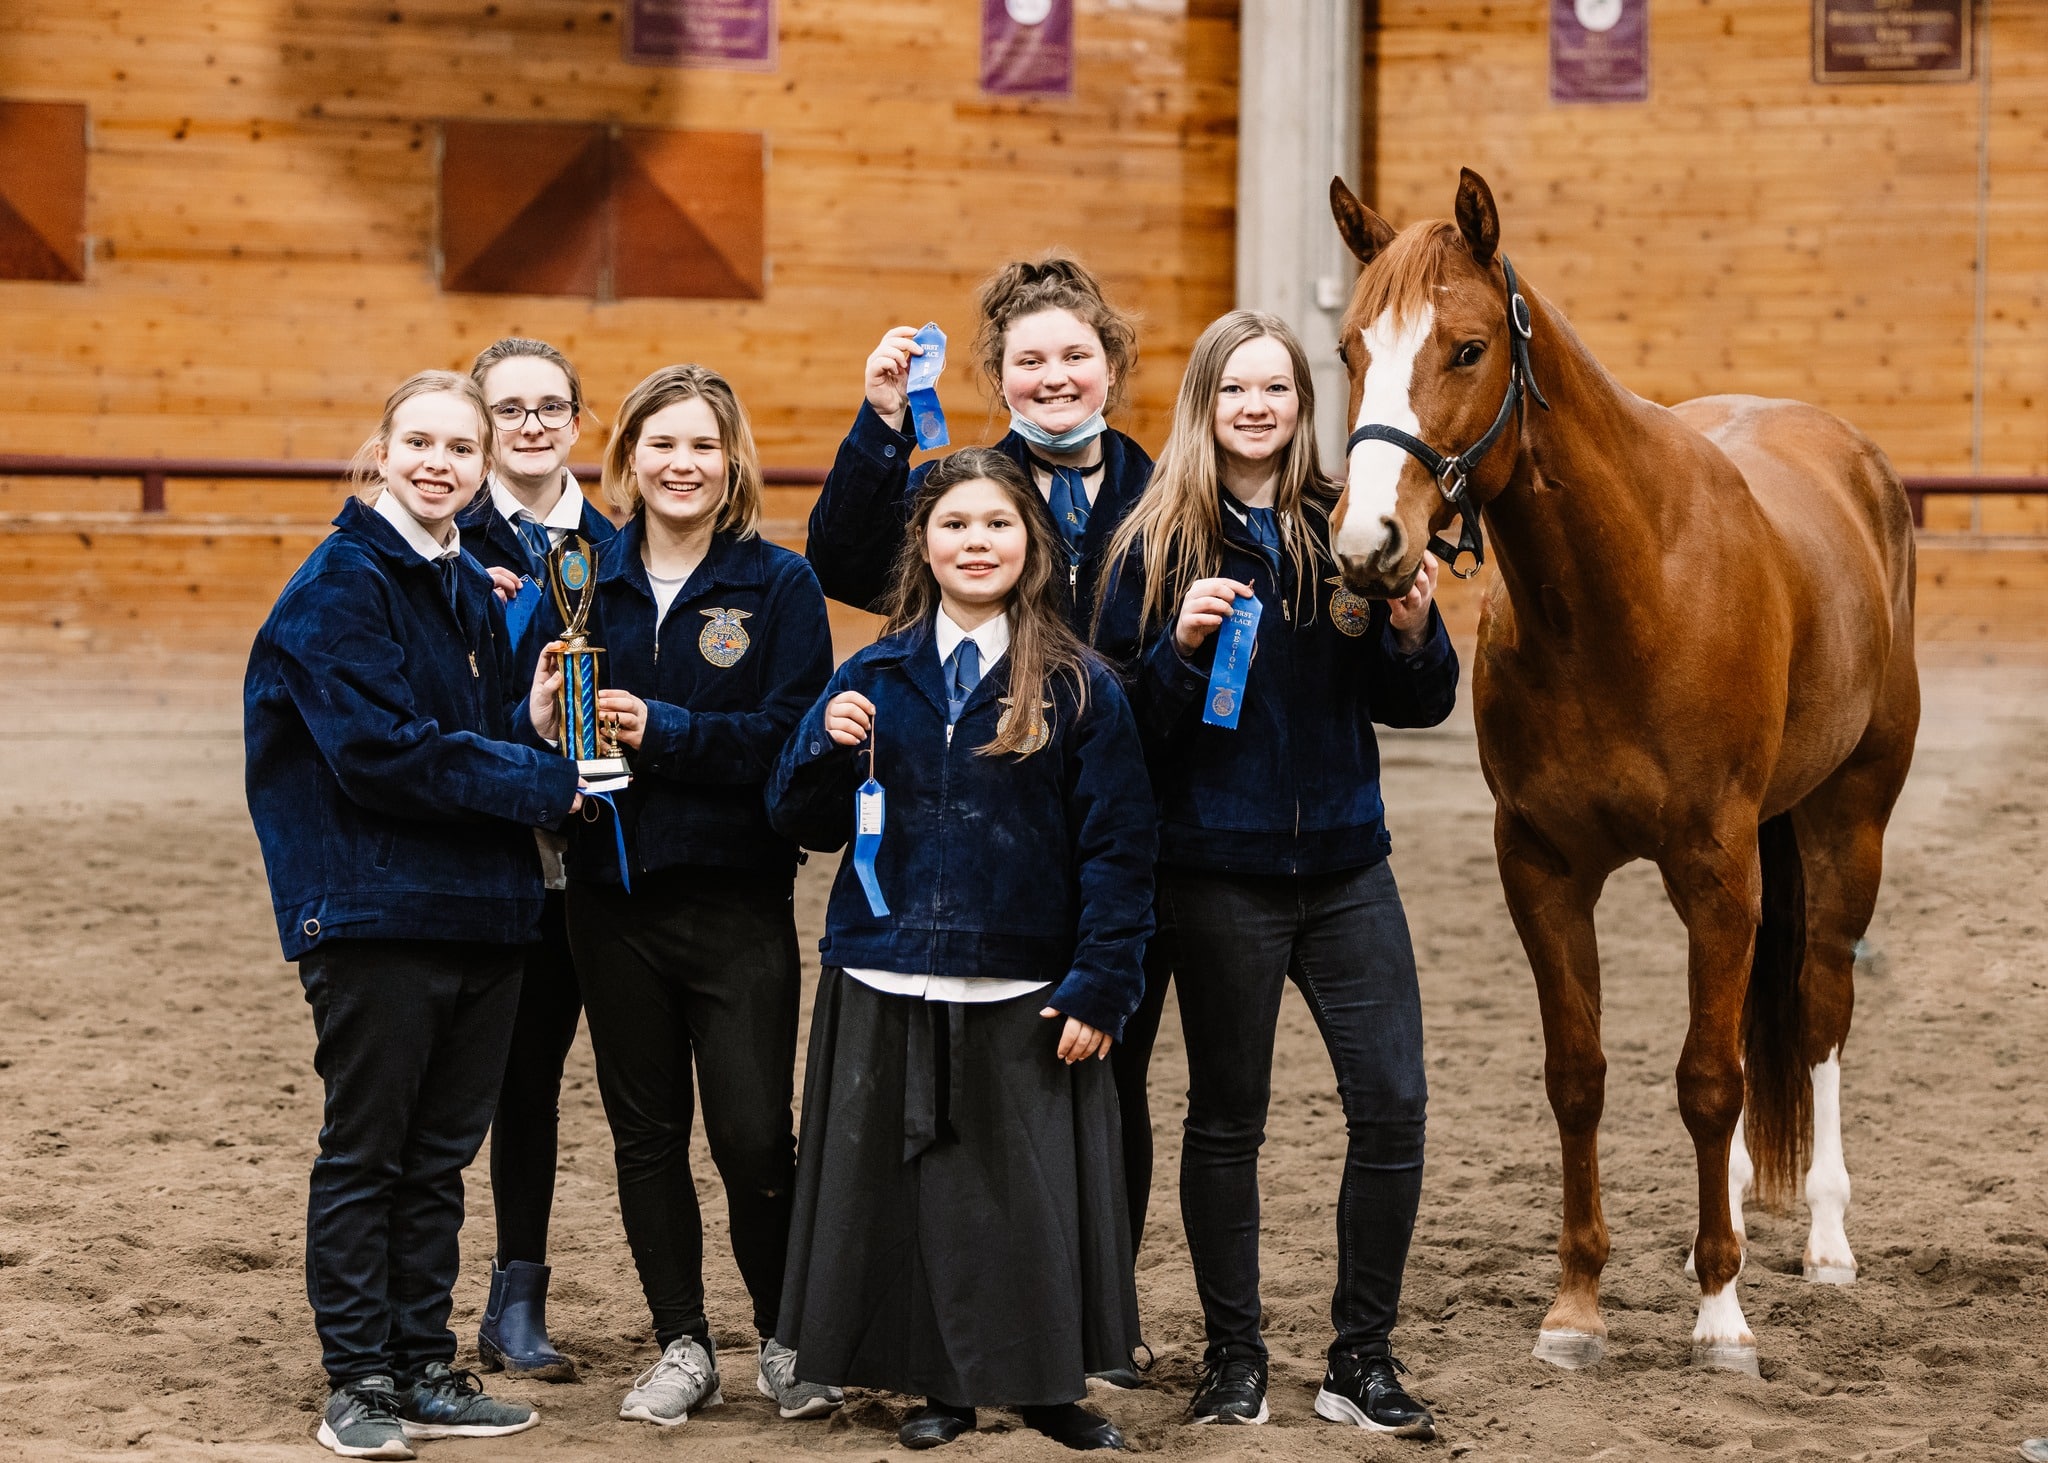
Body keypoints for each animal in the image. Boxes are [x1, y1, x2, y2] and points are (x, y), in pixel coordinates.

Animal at [1324, 168, 1919, 1374]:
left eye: (1465, 348)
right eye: (1352, 348)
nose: (1367, 545)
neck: (1624, 590)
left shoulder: (1716, 865)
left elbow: (1707, 1078)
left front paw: (1723, 1316)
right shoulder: (1543, 869)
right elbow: (1579, 1076)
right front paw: (1576, 1307)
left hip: (1848, 827)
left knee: (1819, 1010)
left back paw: (1824, 1241)